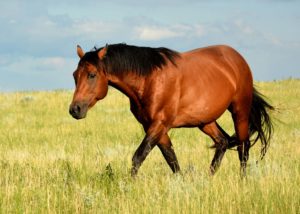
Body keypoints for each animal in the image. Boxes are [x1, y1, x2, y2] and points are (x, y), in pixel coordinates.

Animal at [68, 42, 274, 176]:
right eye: (75, 75)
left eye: (92, 74)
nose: (75, 109)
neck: (149, 79)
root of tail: (237, 58)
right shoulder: (153, 127)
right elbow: (171, 159)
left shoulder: (159, 124)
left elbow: (138, 157)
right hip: (205, 121)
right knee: (222, 142)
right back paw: (210, 178)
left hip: (240, 111)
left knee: (243, 147)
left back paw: (242, 180)